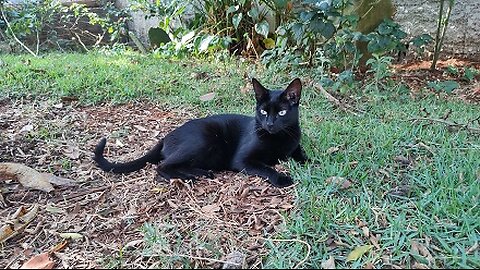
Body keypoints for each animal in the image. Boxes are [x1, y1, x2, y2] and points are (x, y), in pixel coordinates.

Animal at [94, 78, 308, 187]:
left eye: (281, 113)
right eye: (263, 112)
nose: (269, 124)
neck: (278, 138)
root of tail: (166, 137)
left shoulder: (294, 143)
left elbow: (301, 154)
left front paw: (306, 161)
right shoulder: (242, 160)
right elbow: (266, 168)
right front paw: (282, 179)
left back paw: (202, 173)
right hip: (204, 140)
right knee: (162, 166)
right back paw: (188, 178)